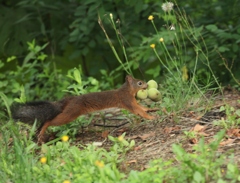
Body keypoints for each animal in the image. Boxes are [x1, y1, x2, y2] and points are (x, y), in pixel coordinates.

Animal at [10, 75, 158, 142]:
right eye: (140, 83)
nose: (146, 85)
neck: (127, 90)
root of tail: (68, 100)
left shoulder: (133, 102)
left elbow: (141, 107)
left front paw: (152, 110)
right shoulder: (127, 101)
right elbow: (138, 111)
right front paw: (151, 117)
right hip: (70, 113)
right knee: (50, 121)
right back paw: (42, 130)